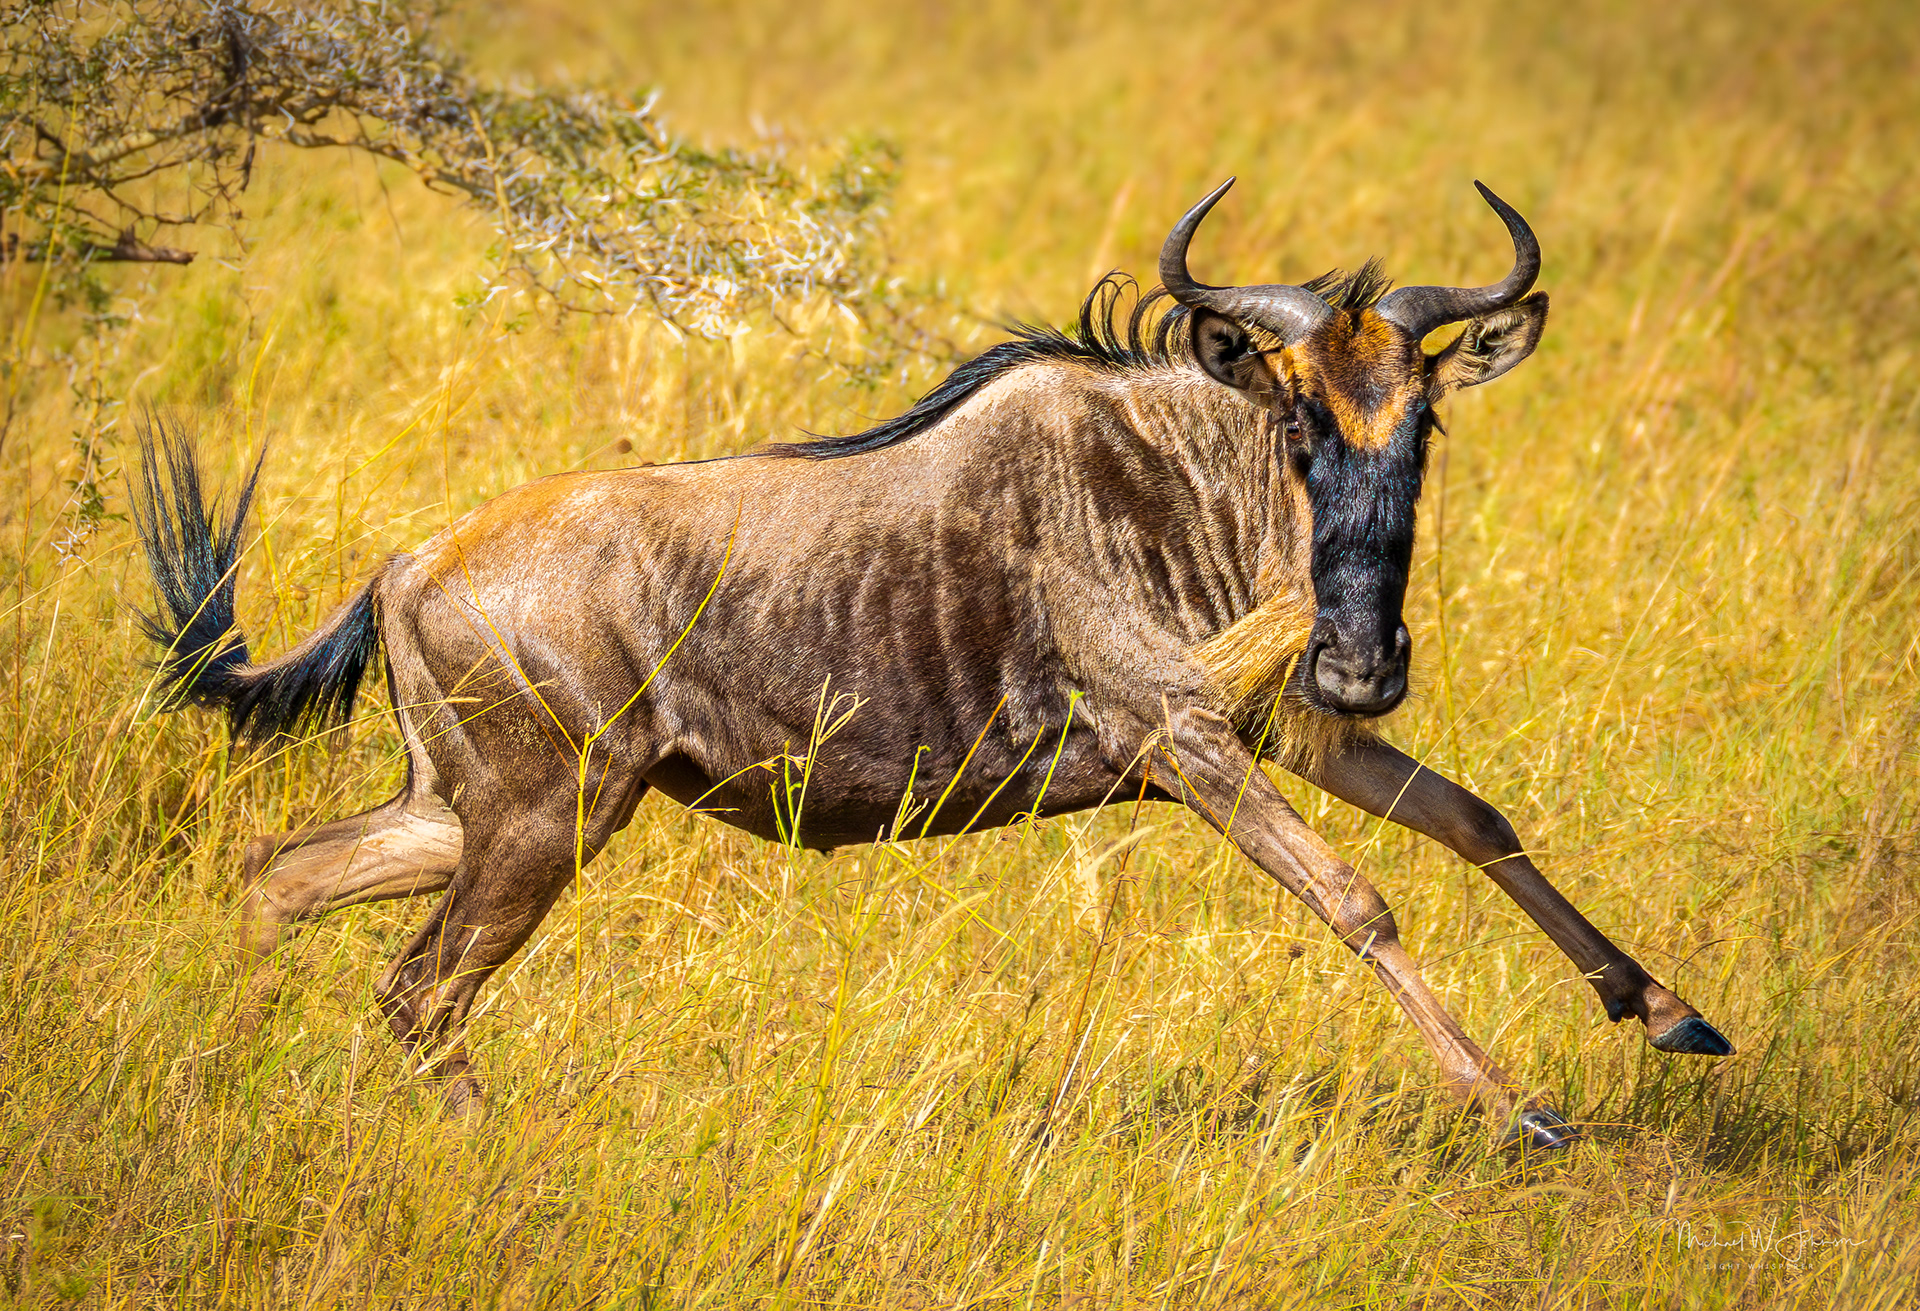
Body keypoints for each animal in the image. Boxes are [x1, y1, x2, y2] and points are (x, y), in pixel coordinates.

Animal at [135, 179, 1732, 1149]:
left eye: (1423, 424)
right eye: (1295, 425)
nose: (1360, 659)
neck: (1173, 482)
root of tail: (407, 565)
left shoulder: (1290, 734)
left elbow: (1478, 821)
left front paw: (1668, 1010)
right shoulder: (1191, 742)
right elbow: (1360, 896)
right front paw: (1516, 1106)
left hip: (465, 810)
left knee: (280, 877)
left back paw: (225, 1070)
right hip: (544, 819)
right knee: (418, 987)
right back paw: (486, 1144)